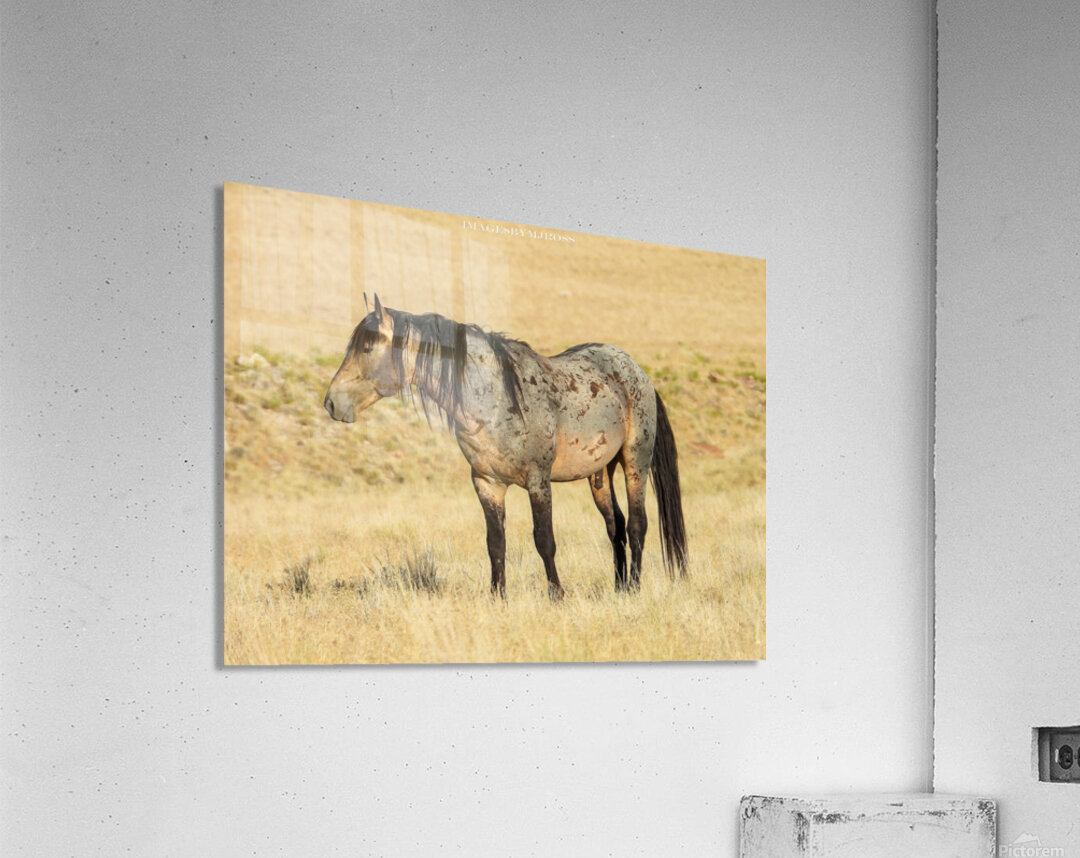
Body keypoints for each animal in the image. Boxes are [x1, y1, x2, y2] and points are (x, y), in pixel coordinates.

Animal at [323, 294, 687, 599]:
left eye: (367, 349)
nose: (331, 403)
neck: (495, 399)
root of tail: (638, 373)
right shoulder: (487, 484)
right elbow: (495, 544)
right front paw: (497, 597)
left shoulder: (538, 481)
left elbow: (544, 540)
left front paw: (557, 595)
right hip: (598, 474)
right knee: (616, 527)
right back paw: (619, 587)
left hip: (635, 463)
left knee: (638, 525)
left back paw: (634, 588)